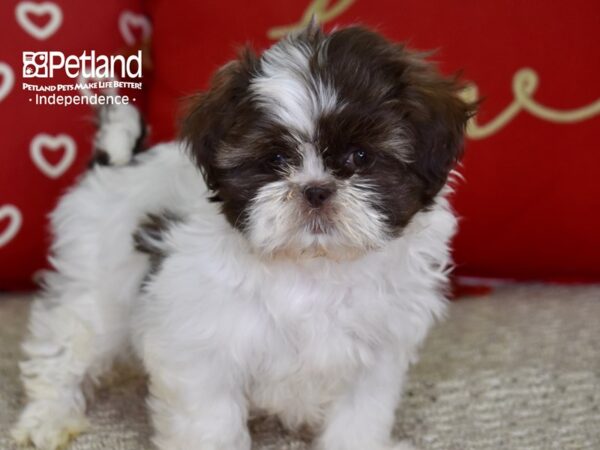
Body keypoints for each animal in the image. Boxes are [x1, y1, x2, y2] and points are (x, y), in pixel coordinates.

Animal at [12, 22, 474, 450]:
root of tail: (118, 162)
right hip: (97, 287)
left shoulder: (376, 356)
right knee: (67, 348)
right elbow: (210, 424)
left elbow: (360, 417)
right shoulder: (200, 349)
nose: (316, 190)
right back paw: (47, 419)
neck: (312, 266)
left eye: (361, 157)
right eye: (276, 159)